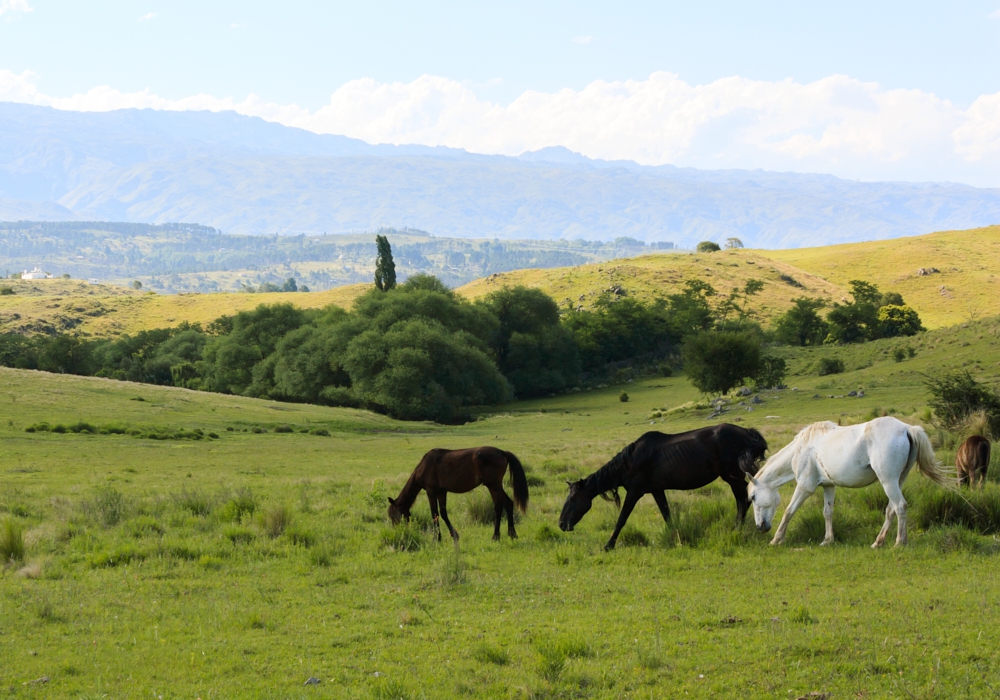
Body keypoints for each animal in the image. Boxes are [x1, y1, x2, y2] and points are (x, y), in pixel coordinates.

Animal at [388, 448, 532, 540]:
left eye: (392, 515)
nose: (397, 531)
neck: (424, 466)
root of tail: (502, 452)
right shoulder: (442, 492)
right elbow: (443, 513)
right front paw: (454, 534)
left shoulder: (431, 491)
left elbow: (435, 514)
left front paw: (437, 537)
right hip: (493, 487)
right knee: (498, 507)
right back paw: (496, 536)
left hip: (494, 485)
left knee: (508, 503)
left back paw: (511, 534)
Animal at [560, 424, 768, 548]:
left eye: (573, 498)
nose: (561, 524)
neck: (631, 460)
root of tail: (746, 432)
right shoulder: (657, 490)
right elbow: (667, 515)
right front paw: (676, 537)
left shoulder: (634, 492)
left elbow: (622, 519)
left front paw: (608, 545)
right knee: (743, 499)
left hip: (732, 477)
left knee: (743, 500)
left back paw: (737, 530)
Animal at [752, 416, 952, 548]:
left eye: (753, 497)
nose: (760, 527)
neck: (802, 448)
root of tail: (907, 429)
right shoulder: (828, 486)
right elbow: (827, 512)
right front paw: (827, 540)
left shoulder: (804, 487)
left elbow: (788, 511)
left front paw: (776, 539)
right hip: (897, 480)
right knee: (891, 509)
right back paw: (878, 542)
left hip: (888, 481)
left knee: (900, 506)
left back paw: (899, 543)